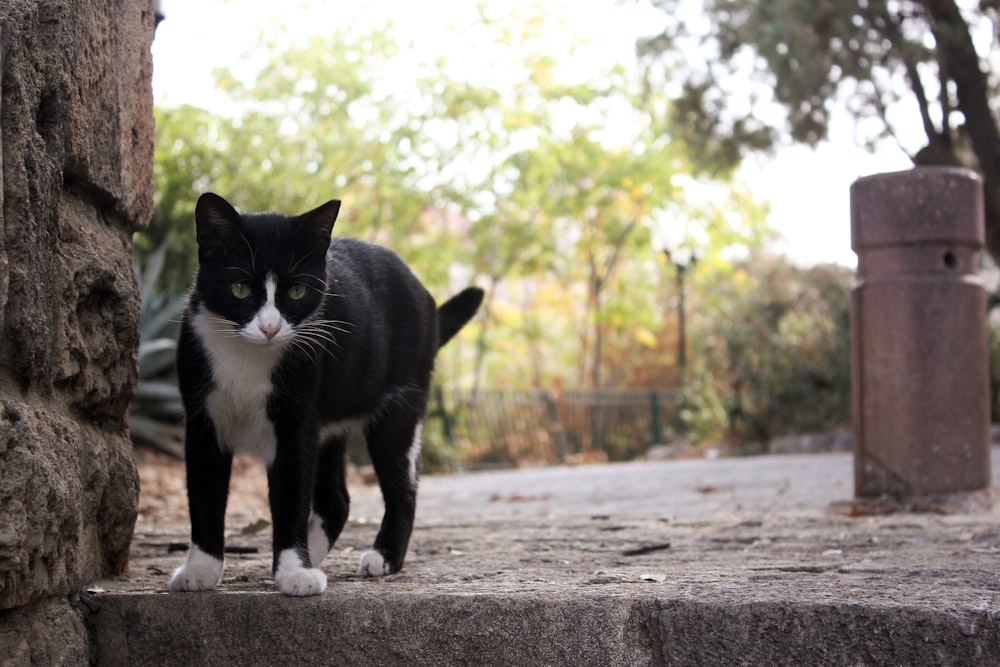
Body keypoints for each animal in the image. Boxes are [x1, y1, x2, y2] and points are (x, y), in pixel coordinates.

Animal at [167, 190, 484, 596]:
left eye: (297, 290)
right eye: (240, 288)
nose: (270, 328)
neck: (247, 361)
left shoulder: (296, 421)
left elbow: (291, 495)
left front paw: (293, 571)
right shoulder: (202, 420)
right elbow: (204, 493)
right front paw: (201, 569)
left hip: (401, 403)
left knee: (403, 486)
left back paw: (383, 557)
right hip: (331, 422)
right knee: (337, 501)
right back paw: (314, 555)